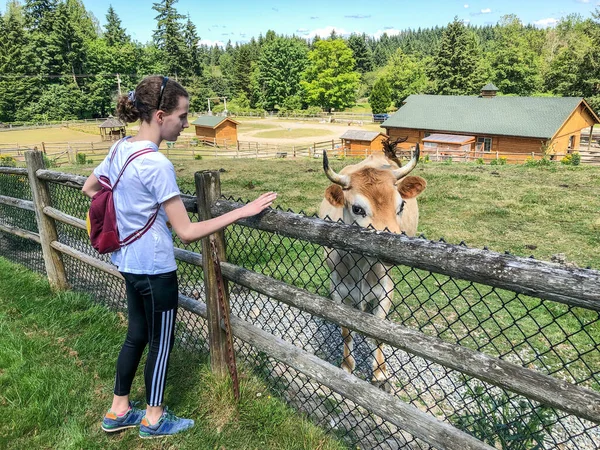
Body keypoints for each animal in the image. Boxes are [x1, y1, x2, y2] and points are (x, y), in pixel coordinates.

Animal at [318, 145, 426, 390]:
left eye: (401, 205)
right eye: (358, 209)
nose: (394, 246)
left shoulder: (385, 290)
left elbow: (379, 334)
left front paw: (379, 372)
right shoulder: (337, 288)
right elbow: (346, 331)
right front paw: (347, 365)